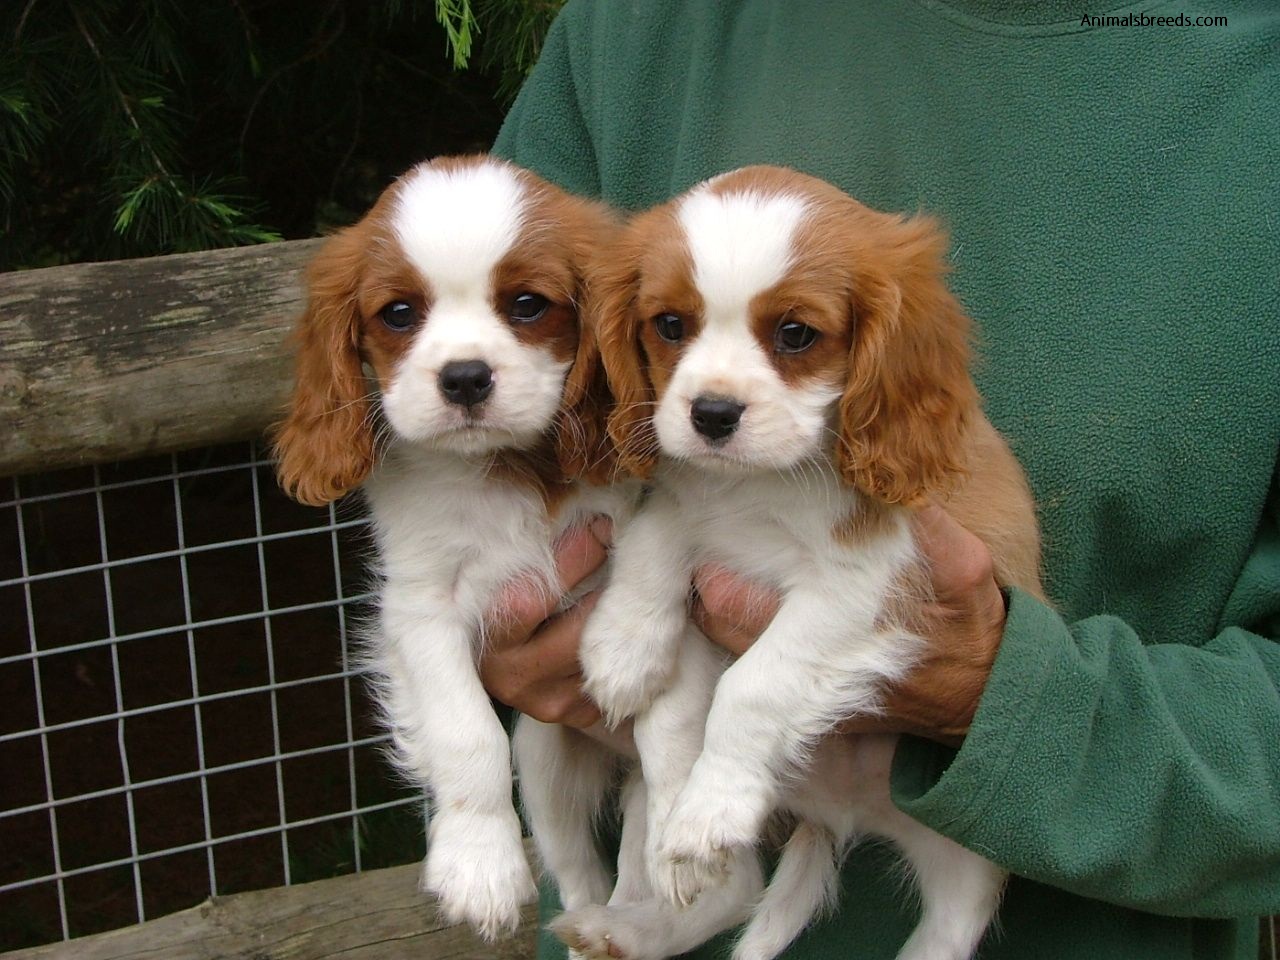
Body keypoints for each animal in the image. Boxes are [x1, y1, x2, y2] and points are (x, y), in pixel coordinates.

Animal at [273, 156, 650, 942]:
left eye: (529, 305)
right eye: (398, 314)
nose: (465, 377)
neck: (498, 466)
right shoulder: (421, 608)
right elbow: (467, 733)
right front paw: (480, 867)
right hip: (545, 758)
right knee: (578, 871)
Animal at [578, 167, 1039, 960]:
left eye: (795, 334)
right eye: (669, 326)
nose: (711, 414)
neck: (759, 485)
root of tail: (839, 813)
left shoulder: (868, 585)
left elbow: (752, 688)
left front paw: (708, 807)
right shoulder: (691, 510)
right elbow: (659, 590)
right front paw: (626, 650)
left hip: (965, 863)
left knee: (948, 929)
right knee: (734, 890)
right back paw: (628, 928)